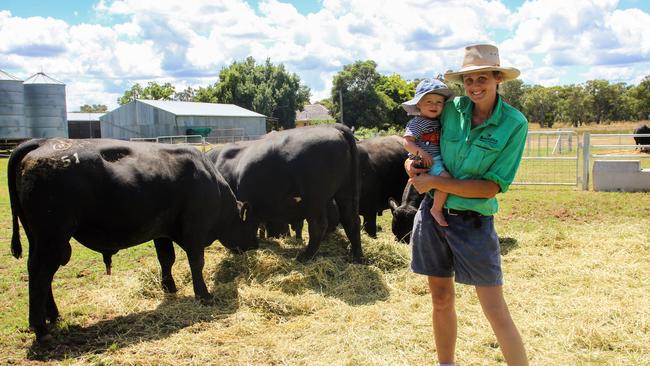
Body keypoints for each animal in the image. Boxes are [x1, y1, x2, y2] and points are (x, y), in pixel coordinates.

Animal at [7, 138, 246, 340]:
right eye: (245, 223)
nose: (250, 245)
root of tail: (44, 142)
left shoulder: (161, 231)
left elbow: (166, 259)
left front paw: (169, 287)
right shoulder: (195, 229)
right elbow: (196, 262)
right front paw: (204, 295)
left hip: (41, 240)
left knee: (42, 275)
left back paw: (53, 316)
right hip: (52, 239)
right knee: (39, 273)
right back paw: (41, 329)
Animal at [213, 124, 364, 262]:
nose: (253, 246)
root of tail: (334, 127)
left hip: (315, 199)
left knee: (318, 225)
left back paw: (305, 256)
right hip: (345, 192)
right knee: (352, 220)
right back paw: (357, 256)